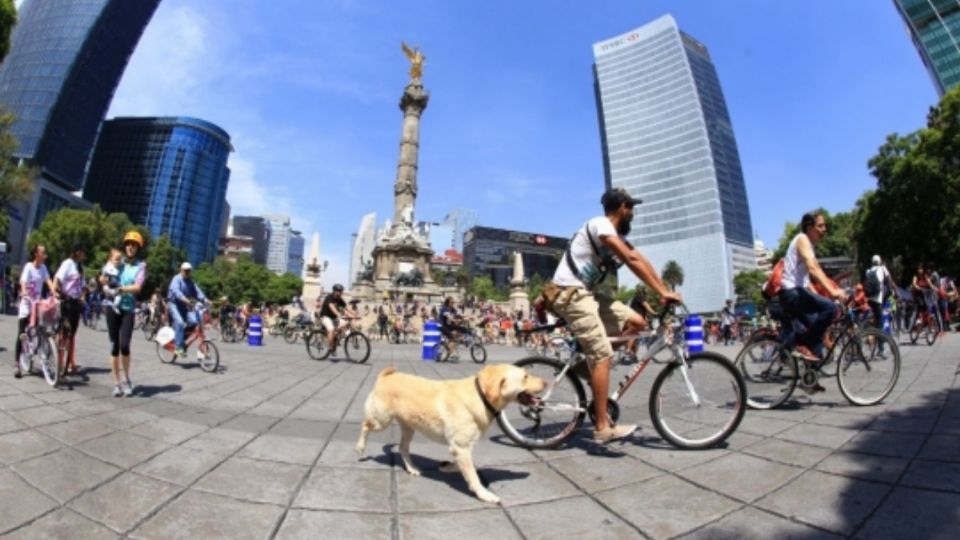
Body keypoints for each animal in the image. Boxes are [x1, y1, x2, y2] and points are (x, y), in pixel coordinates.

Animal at [354, 360, 548, 504]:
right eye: (525, 376)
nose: (547, 381)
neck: (480, 396)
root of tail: (385, 376)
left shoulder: (461, 448)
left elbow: (467, 466)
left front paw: (447, 467)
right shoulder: (460, 447)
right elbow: (473, 476)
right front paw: (484, 494)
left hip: (409, 427)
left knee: (402, 448)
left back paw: (412, 468)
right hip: (381, 421)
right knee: (365, 425)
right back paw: (360, 448)